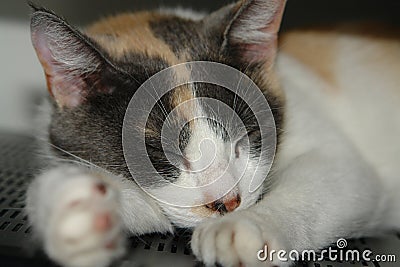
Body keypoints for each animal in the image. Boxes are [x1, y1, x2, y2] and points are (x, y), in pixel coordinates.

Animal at [25, 0, 400, 267]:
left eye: (247, 135)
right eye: (158, 154)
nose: (228, 203)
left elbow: (340, 176)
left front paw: (245, 227)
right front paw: (75, 212)